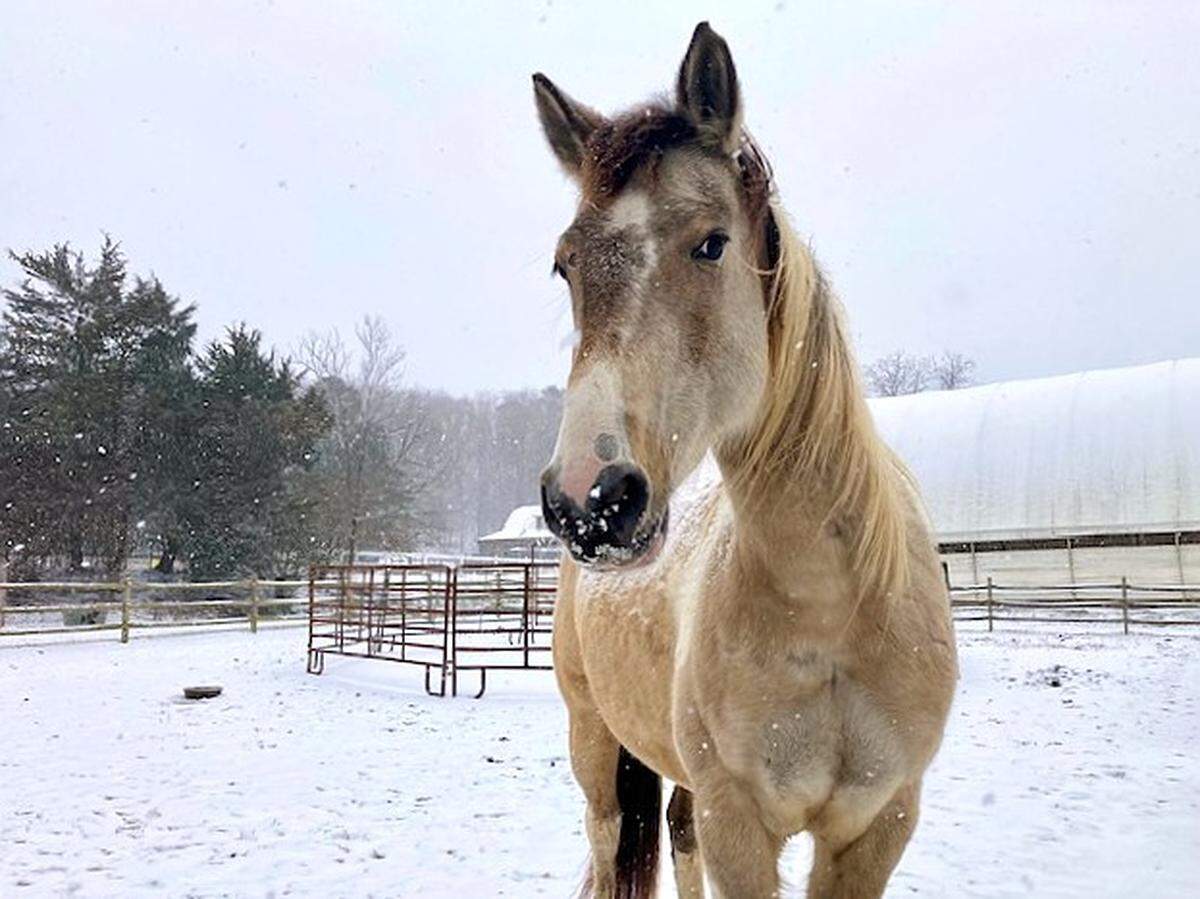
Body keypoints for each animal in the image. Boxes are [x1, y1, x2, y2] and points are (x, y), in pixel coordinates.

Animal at [533, 23, 957, 899]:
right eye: (565, 264)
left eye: (711, 243)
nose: (591, 499)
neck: (831, 608)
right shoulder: (740, 820)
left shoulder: (880, 824)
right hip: (594, 745)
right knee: (608, 846)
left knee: (675, 832)